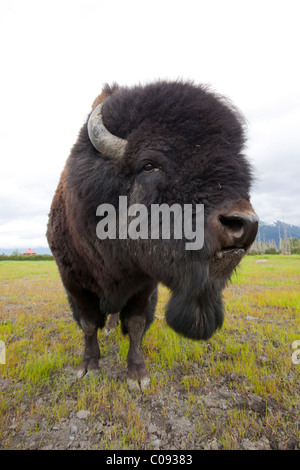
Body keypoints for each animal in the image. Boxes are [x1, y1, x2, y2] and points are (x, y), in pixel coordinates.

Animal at [47, 80, 258, 390]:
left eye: (241, 167)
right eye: (148, 165)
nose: (244, 223)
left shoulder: (144, 284)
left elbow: (135, 324)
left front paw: (137, 375)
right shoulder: (73, 281)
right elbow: (88, 324)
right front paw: (88, 367)